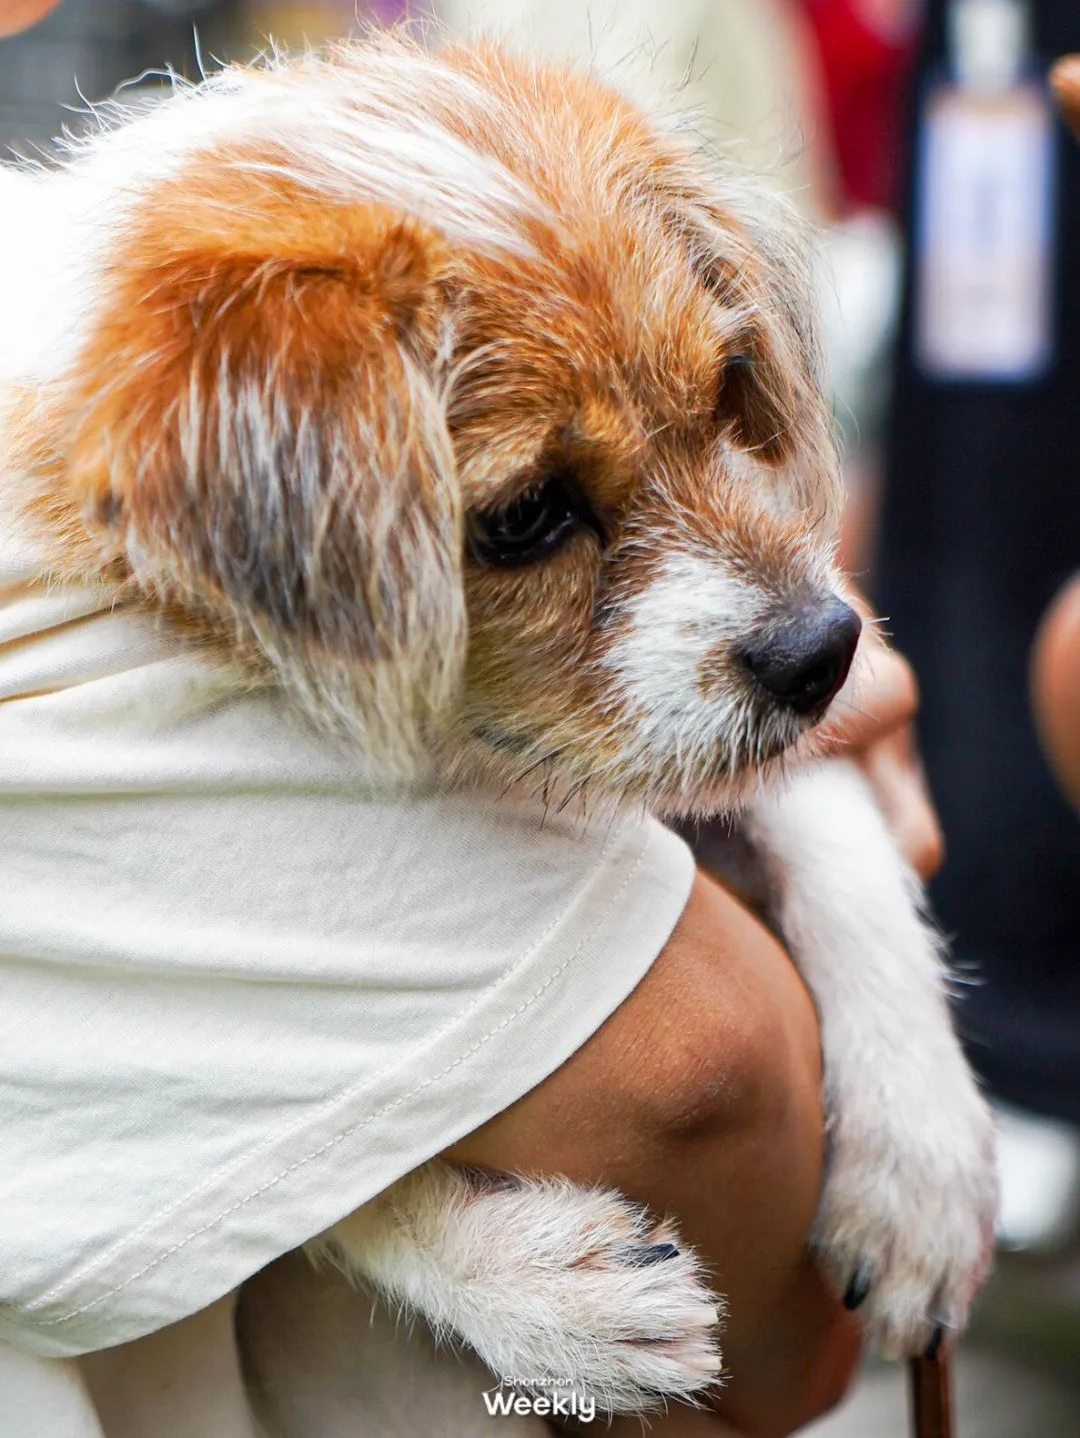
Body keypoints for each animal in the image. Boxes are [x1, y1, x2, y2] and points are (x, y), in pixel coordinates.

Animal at [0, 33, 995, 1414]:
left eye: (725, 393)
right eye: (526, 517)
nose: (826, 653)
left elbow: (833, 830)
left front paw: (922, 1163)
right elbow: (307, 1192)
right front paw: (533, 1288)